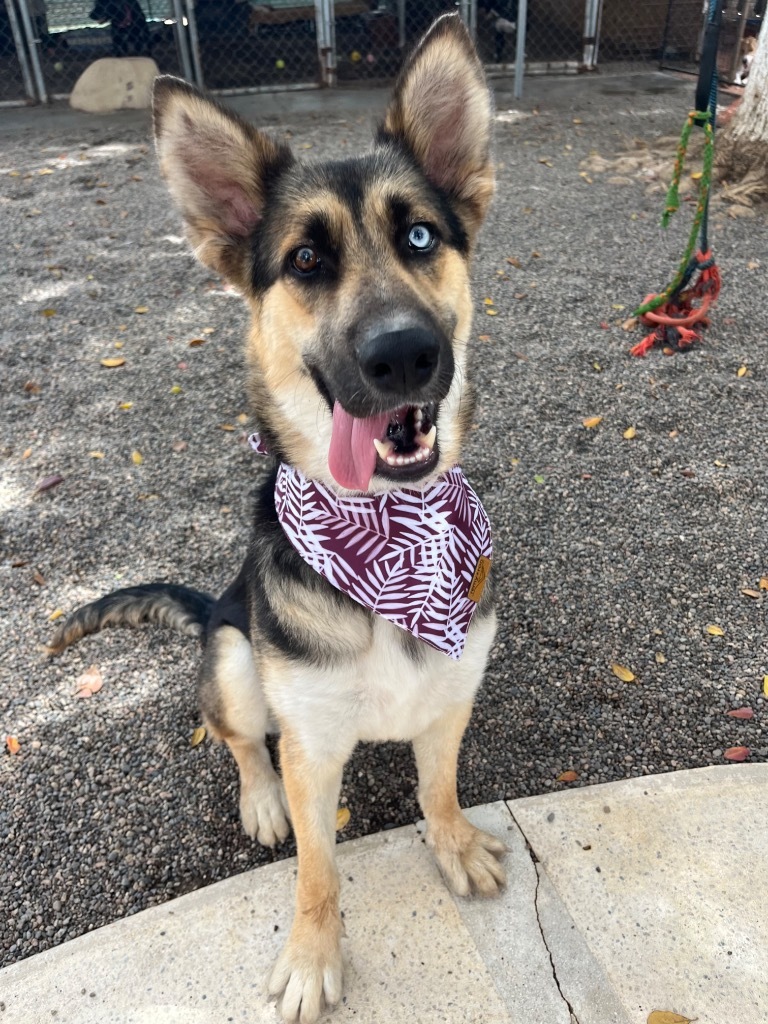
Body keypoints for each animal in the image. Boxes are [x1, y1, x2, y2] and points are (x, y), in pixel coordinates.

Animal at [49, 16, 505, 1024]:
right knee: (235, 737)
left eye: (420, 235)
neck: (392, 540)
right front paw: (311, 955)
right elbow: (317, 868)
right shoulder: (312, 747)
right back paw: (257, 801)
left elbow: (441, 787)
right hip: (231, 651)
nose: (405, 354)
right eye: (305, 261)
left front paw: (453, 843)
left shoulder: (449, 700)